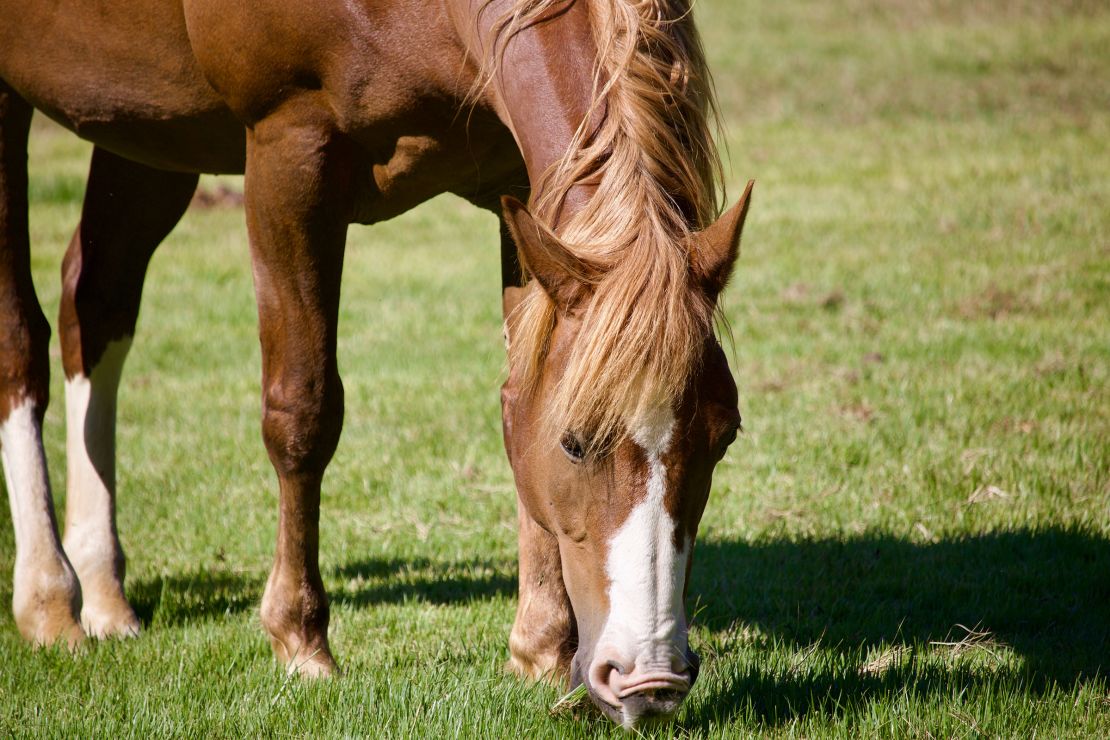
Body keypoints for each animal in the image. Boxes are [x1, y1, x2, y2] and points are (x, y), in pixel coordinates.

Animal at [0, 0, 750, 727]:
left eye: (723, 439)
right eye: (574, 442)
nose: (650, 680)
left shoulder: (516, 185)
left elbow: (517, 400)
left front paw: (540, 647)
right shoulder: (286, 149)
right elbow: (302, 411)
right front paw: (300, 641)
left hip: (145, 127)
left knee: (95, 302)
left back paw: (104, 592)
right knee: (22, 340)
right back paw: (49, 598)